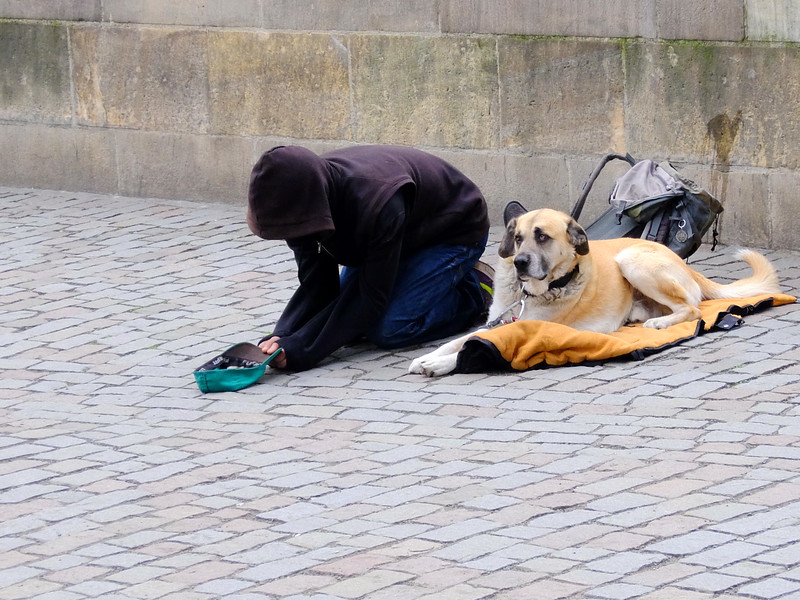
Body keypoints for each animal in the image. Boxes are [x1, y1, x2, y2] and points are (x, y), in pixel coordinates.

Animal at [410, 206, 780, 376]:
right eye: (518, 238)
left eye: (542, 237)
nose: (520, 263)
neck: (532, 293)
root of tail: (685, 263)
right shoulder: (498, 321)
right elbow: (459, 339)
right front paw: (428, 357)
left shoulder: (520, 328)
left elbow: (471, 345)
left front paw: (440, 365)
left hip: (631, 260)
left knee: (691, 308)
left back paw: (660, 324)